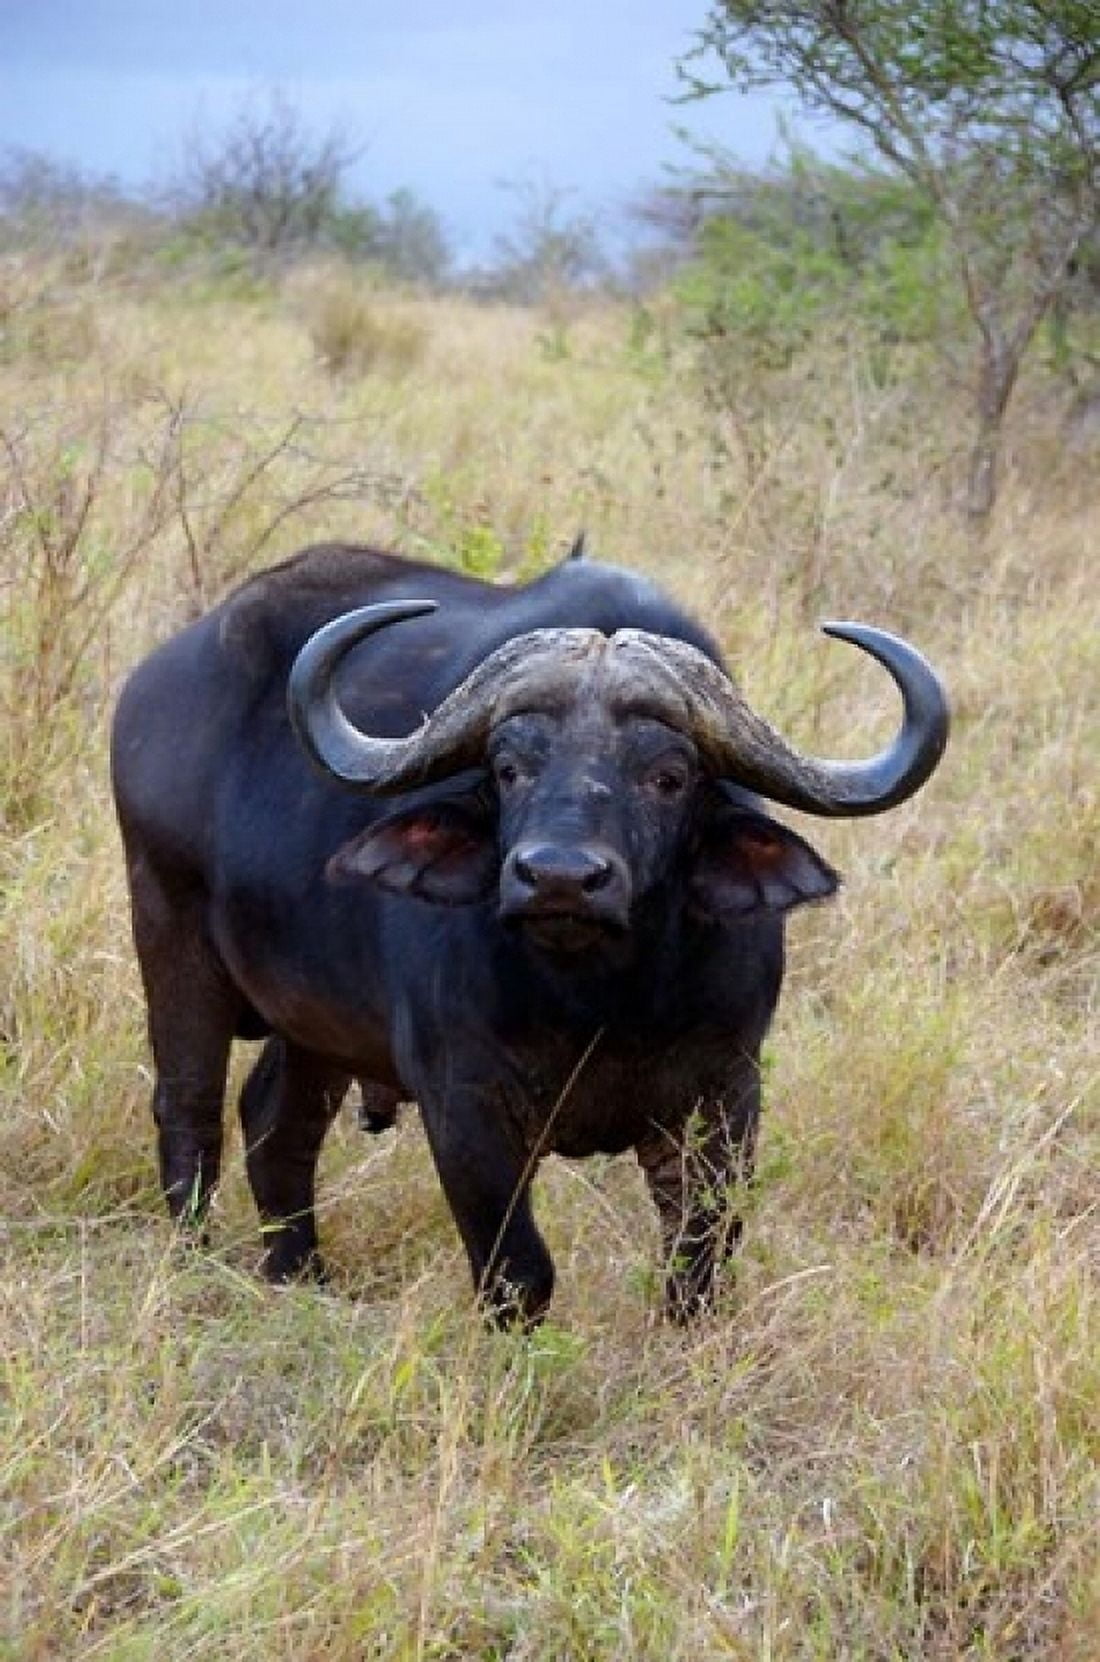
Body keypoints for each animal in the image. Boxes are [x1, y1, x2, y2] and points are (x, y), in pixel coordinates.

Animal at [111, 540, 948, 1322]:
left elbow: (698, 1263)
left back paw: (300, 1277)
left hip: (316, 1022)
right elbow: (519, 1272)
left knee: (276, 1124)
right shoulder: (464, 1103)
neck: (603, 1002)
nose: (559, 877)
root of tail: (156, 684)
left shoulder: (724, 1094)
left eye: (668, 776)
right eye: (510, 767)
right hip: (169, 932)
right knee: (189, 1114)